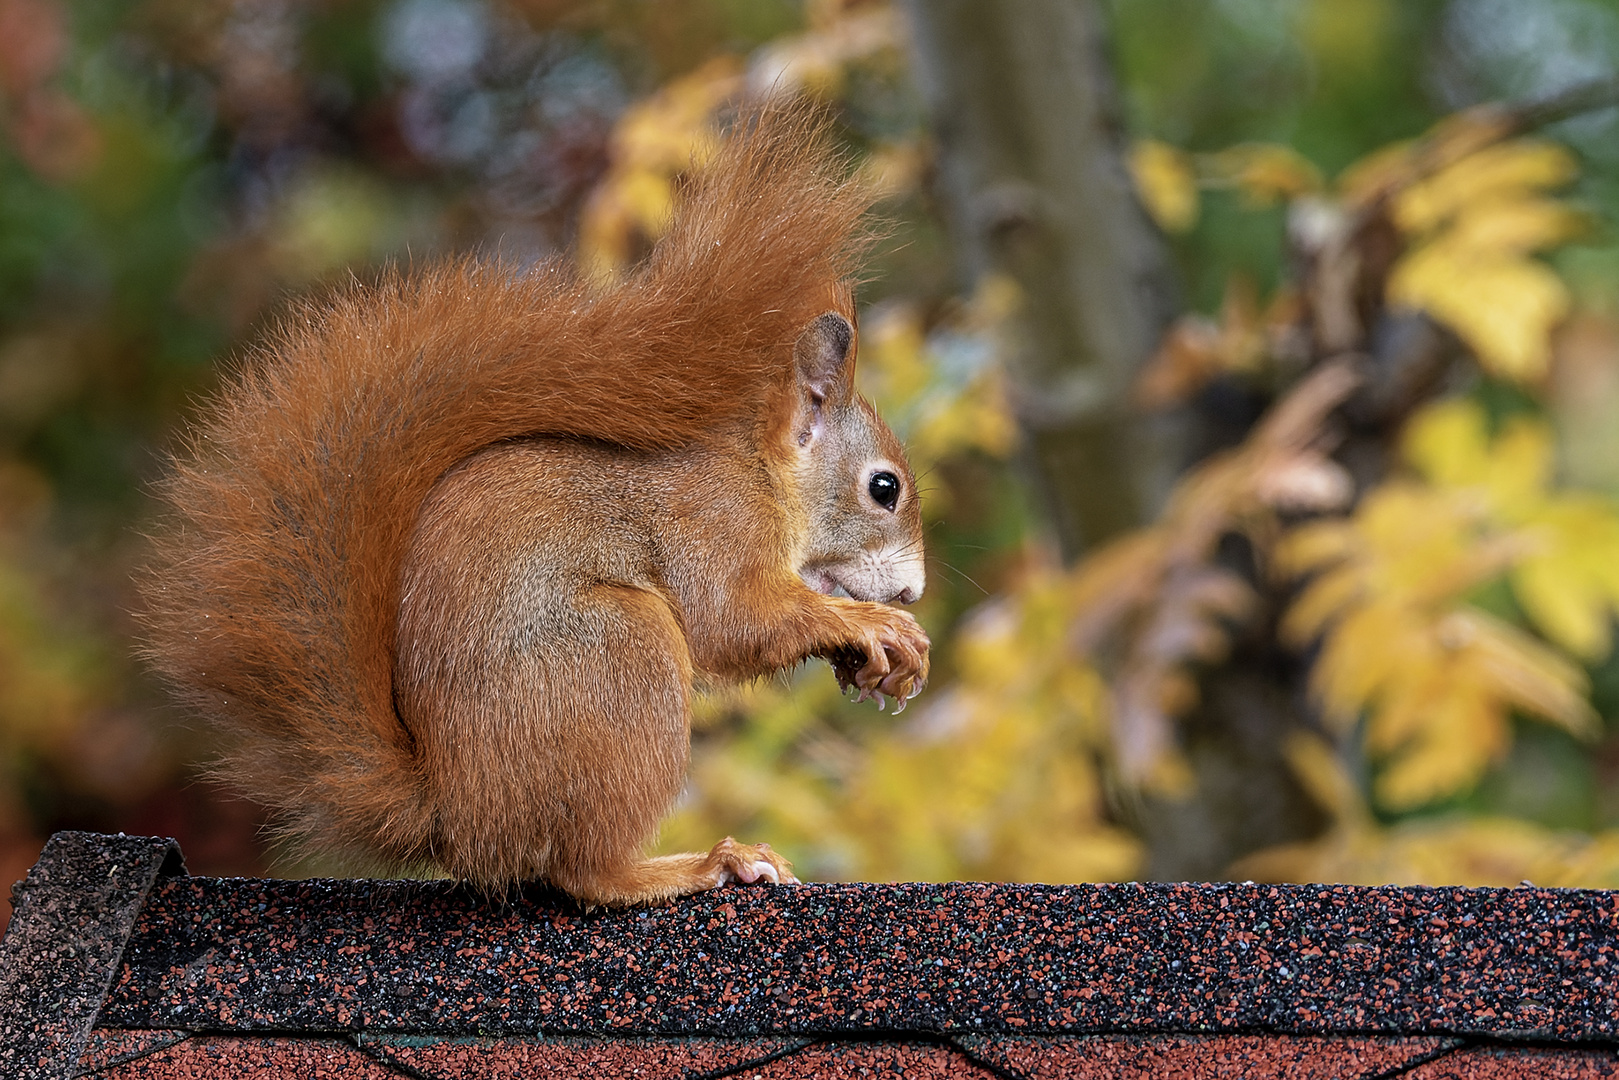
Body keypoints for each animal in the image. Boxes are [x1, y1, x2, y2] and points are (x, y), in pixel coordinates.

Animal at [137, 105, 932, 906]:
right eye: (884, 488)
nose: (913, 590)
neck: (762, 474)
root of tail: (457, 815)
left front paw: (866, 662)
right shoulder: (712, 523)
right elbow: (732, 620)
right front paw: (876, 626)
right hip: (619, 654)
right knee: (585, 870)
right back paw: (701, 864)